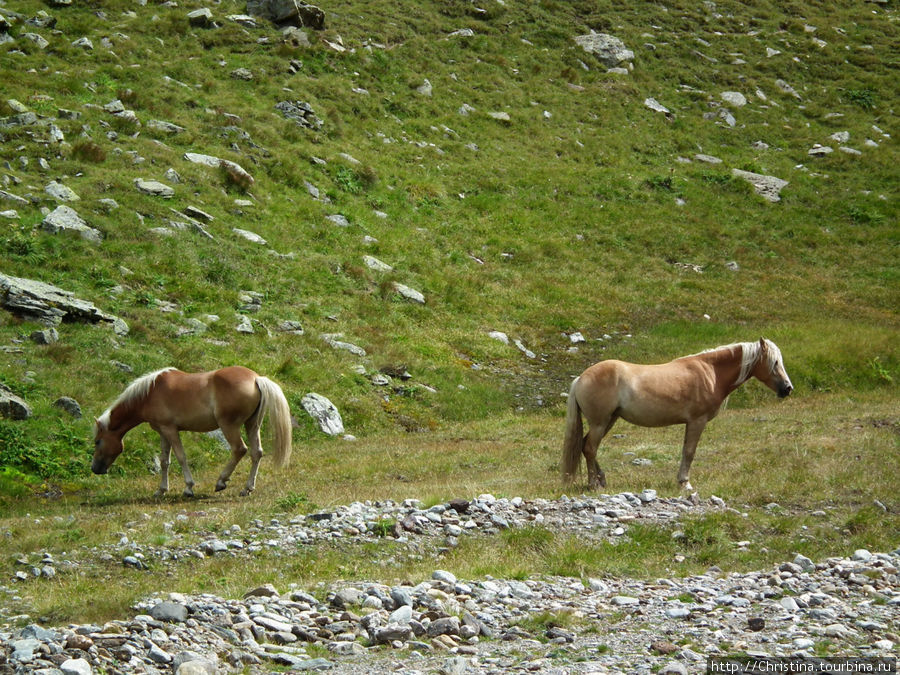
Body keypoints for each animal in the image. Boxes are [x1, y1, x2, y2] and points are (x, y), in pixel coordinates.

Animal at [90, 370, 292, 496]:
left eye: (97, 441)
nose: (95, 469)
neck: (150, 393)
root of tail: (256, 379)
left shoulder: (170, 430)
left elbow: (181, 457)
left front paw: (188, 487)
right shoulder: (162, 432)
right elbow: (164, 461)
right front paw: (161, 490)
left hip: (229, 426)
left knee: (239, 450)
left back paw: (221, 481)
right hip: (252, 425)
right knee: (256, 453)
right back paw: (247, 488)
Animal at [564, 338, 796, 492]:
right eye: (774, 363)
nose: (787, 388)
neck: (711, 372)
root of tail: (581, 378)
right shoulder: (697, 422)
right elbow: (689, 452)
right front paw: (685, 482)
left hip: (608, 420)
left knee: (586, 446)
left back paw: (601, 480)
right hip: (600, 422)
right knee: (590, 448)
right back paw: (593, 484)